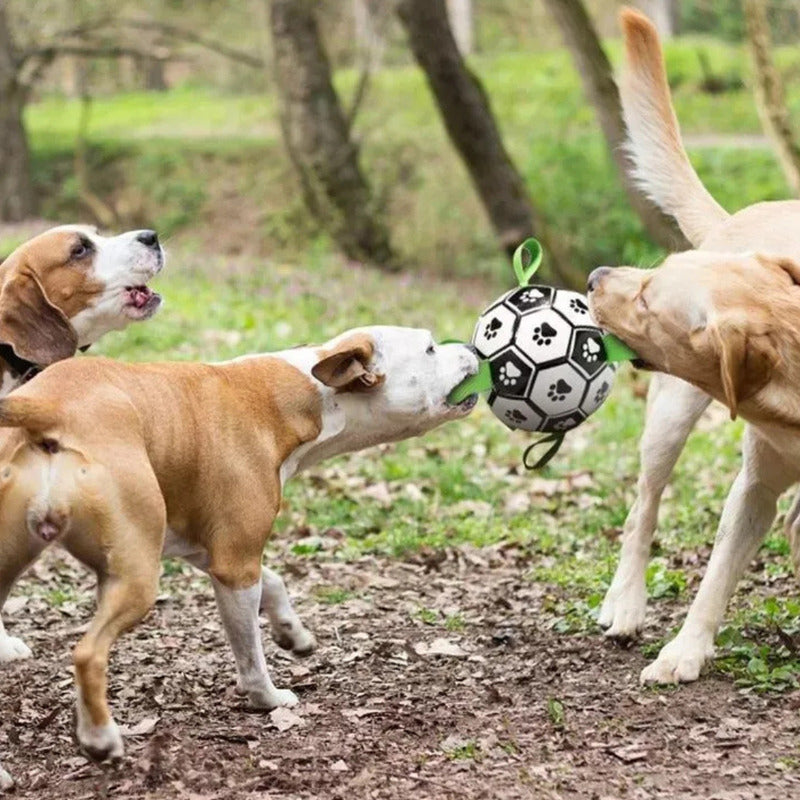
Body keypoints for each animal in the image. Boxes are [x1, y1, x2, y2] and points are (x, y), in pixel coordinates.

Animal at [0, 324, 476, 776]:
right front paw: (268, 697)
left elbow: (276, 581)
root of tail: (51, 406)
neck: (305, 395)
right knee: (88, 653)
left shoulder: (210, 550)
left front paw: (293, 633)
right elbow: (250, 651)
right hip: (136, 577)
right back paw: (101, 738)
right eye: (430, 347)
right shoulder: (234, 567)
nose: (473, 349)